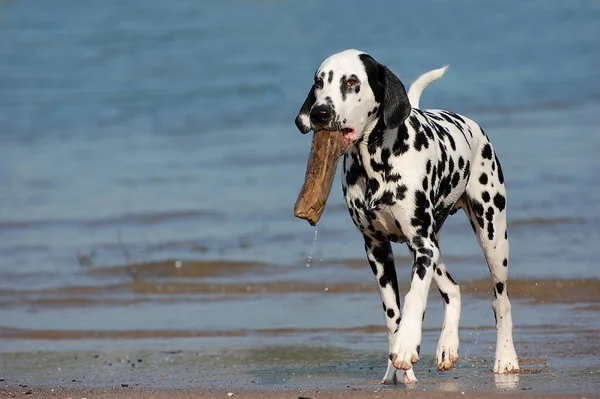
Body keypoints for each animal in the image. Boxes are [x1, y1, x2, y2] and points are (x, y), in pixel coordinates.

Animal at [296, 50, 520, 384]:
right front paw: (397, 368)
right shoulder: (377, 250)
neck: (374, 166)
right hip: (436, 243)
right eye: (319, 82)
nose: (320, 112)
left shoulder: (421, 246)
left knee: (500, 300)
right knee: (452, 289)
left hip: (492, 234)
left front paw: (405, 347)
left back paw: (505, 358)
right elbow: (393, 313)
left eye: (351, 81)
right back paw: (446, 347)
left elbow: (415, 298)